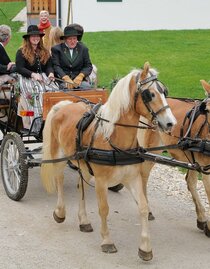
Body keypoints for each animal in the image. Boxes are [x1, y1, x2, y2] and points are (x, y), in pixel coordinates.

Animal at [40, 62, 176, 260]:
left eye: (164, 91)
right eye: (149, 94)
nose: (171, 123)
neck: (114, 138)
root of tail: (64, 104)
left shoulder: (132, 178)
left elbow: (143, 207)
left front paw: (145, 247)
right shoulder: (101, 181)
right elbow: (104, 208)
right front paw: (107, 241)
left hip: (82, 164)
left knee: (81, 186)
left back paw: (84, 220)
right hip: (59, 155)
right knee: (59, 180)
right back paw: (60, 212)